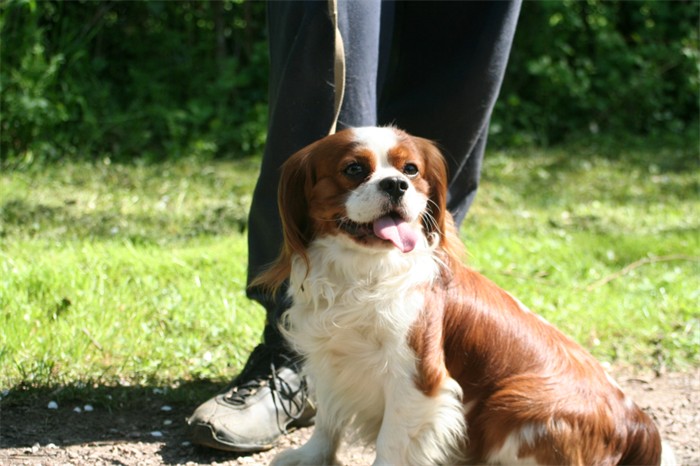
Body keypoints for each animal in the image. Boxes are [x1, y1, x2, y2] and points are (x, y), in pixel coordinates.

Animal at [256, 127, 672, 466]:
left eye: (411, 170)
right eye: (354, 169)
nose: (396, 185)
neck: (363, 271)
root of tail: (639, 423)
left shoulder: (417, 379)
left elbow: (391, 442)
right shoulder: (330, 359)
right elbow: (328, 421)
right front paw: (311, 457)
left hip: (511, 404)